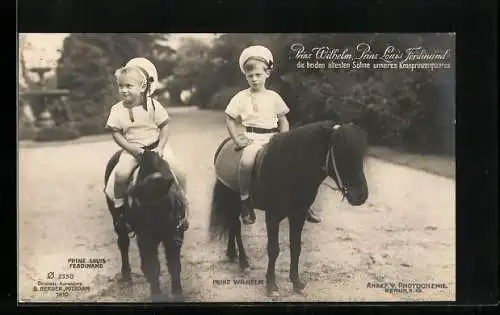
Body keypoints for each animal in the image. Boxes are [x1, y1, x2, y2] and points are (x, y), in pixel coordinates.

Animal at [103, 151, 188, 304]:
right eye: (144, 206)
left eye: (170, 202)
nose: (164, 230)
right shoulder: (145, 239)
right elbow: (152, 266)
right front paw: (157, 295)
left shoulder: (175, 235)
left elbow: (174, 264)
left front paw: (178, 294)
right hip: (117, 222)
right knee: (123, 243)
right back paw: (126, 275)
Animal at [209, 121, 370, 298]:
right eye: (341, 154)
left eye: (360, 155)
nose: (361, 195)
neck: (290, 168)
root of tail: (226, 144)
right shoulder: (272, 217)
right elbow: (273, 249)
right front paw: (271, 286)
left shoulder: (298, 215)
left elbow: (296, 247)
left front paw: (296, 282)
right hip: (232, 199)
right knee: (236, 226)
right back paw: (243, 261)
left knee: (232, 225)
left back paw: (232, 254)